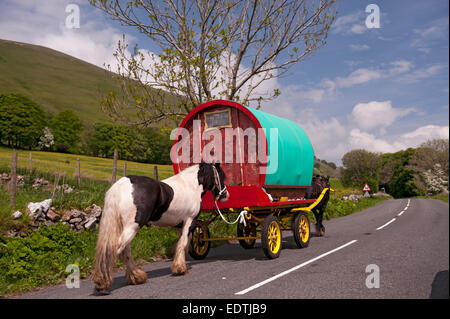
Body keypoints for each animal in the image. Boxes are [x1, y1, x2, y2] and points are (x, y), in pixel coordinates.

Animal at [90, 162, 229, 296]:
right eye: (222, 176)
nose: (225, 195)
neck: (192, 185)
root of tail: (121, 185)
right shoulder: (190, 221)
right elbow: (183, 243)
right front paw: (180, 268)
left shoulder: (180, 225)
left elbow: (181, 244)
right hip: (132, 227)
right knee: (114, 250)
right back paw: (103, 284)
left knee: (125, 251)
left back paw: (136, 277)